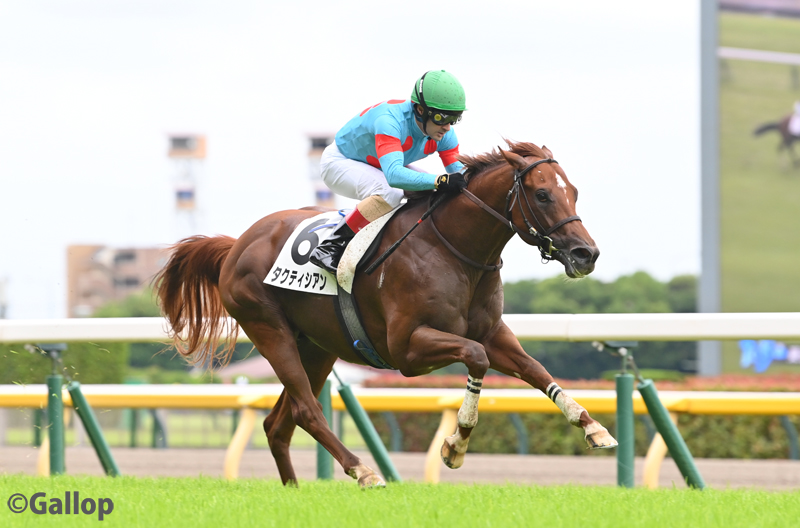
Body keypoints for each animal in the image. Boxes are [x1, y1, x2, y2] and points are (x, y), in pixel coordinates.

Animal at [155, 140, 617, 488]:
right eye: (542, 194)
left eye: (573, 191)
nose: (587, 254)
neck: (454, 249)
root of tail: (236, 244)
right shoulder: (407, 349)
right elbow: (476, 358)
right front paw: (456, 446)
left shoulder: (493, 333)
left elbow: (536, 369)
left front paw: (593, 427)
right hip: (269, 329)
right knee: (307, 409)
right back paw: (363, 471)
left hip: (318, 347)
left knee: (278, 423)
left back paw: (294, 489)